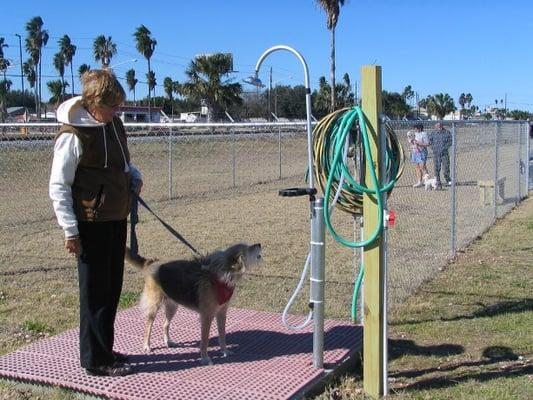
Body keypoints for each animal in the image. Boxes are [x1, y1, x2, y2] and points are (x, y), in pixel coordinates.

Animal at [127, 244, 264, 366]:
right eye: (249, 248)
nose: (259, 244)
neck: (223, 275)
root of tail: (150, 262)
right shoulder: (207, 317)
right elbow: (205, 340)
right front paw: (205, 358)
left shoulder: (222, 313)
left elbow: (222, 335)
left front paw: (224, 351)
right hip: (154, 306)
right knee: (148, 326)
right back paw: (146, 345)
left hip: (172, 306)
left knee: (165, 324)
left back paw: (168, 341)